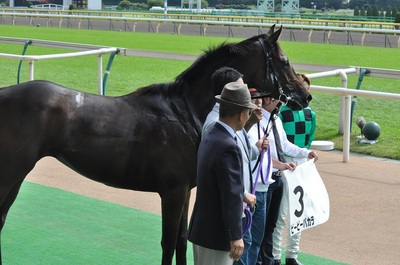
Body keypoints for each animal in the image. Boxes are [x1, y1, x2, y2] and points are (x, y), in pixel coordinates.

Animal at [0, 26, 312, 264]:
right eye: (284, 61)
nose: (305, 94)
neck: (186, 112)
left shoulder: (185, 192)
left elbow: (182, 241)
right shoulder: (172, 192)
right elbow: (168, 242)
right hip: (11, 173)